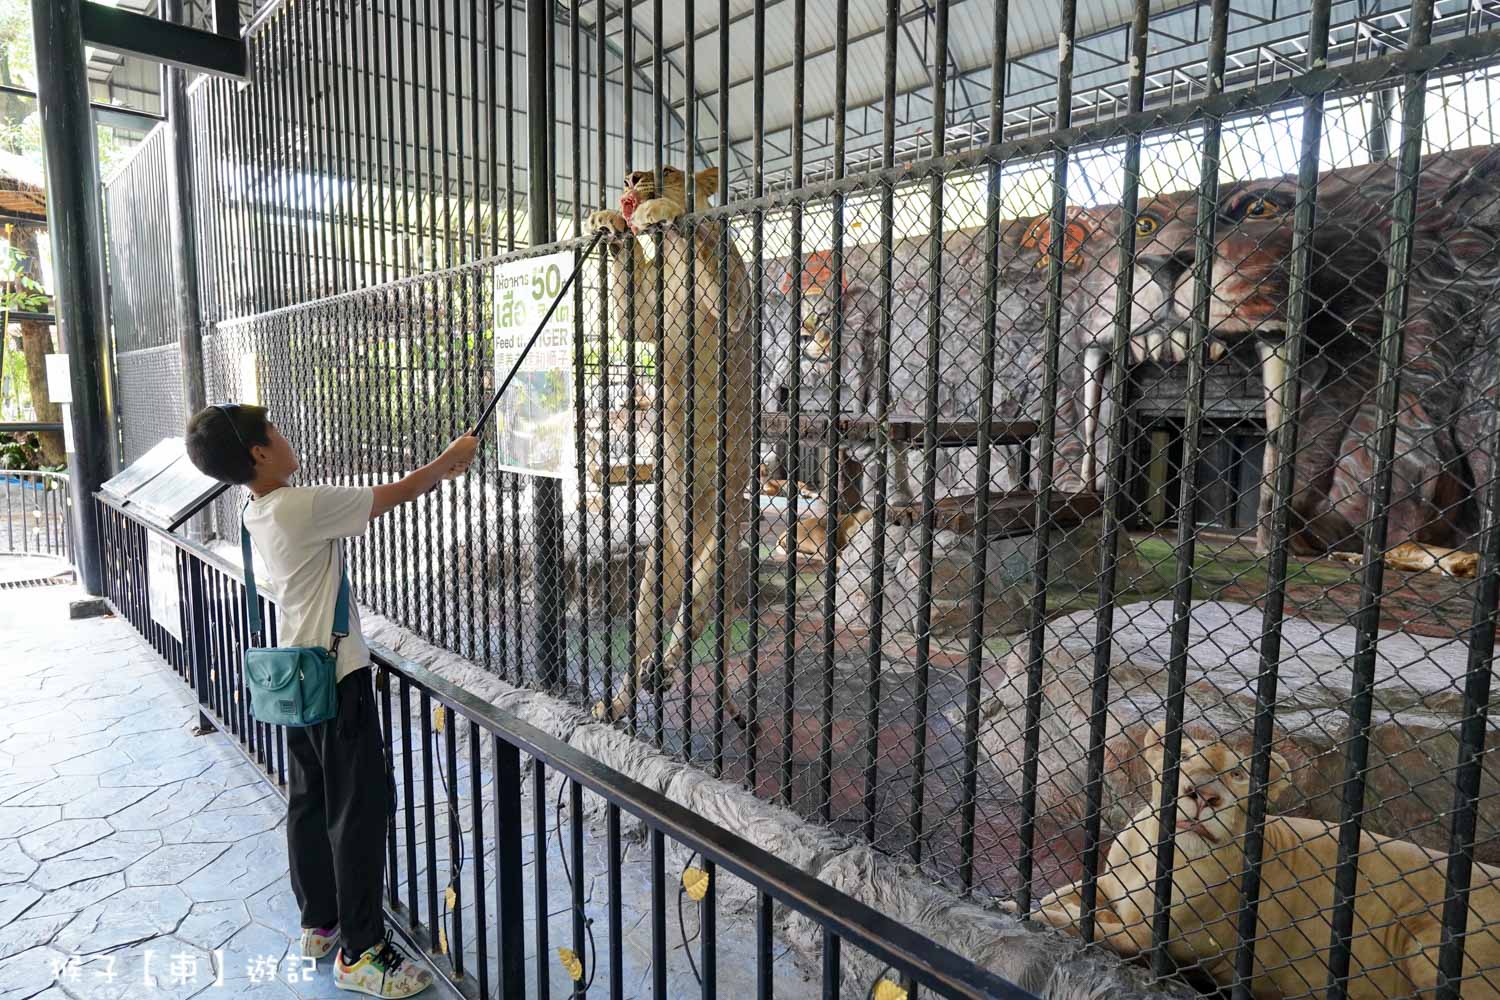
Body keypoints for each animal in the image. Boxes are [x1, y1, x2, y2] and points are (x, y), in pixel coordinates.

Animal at [582, 166, 750, 728]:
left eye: (664, 172)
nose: (630, 179)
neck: (672, 257)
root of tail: (685, 545)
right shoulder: (644, 316)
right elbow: (629, 301)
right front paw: (609, 223)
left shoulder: (733, 302)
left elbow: (707, 244)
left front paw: (663, 212)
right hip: (653, 576)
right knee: (642, 637)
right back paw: (619, 698)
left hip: (715, 563)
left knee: (687, 627)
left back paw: (665, 667)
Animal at [1038, 728, 1500, 1000]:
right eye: (1182, 756)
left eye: (1239, 775)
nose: (1203, 795)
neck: (1157, 852)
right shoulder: (1110, 884)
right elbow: (1068, 892)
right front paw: (1047, 903)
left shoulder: (1163, 936)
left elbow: (1097, 927)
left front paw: (1041, 914)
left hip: (1429, 947)